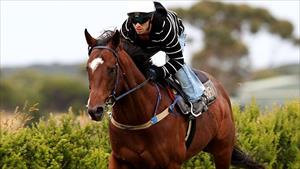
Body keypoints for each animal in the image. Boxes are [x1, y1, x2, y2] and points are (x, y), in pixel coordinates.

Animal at [84, 29, 262, 169]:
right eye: (87, 68)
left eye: (111, 69)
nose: (94, 110)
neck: (137, 119)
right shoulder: (119, 159)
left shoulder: (172, 162)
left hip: (222, 150)